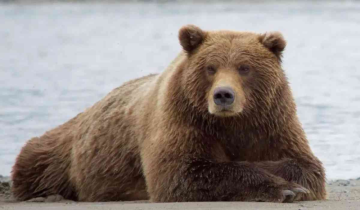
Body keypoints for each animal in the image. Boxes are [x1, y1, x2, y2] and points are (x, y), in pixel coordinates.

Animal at [11, 25, 326, 203]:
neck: (232, 123)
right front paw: (285, 189)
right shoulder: (183, 119)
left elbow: (305, 164)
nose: (223, 95)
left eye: (244, 68)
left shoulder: (272, 121)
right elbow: (181, 172)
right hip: (62, 153)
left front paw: (292, 183)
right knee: (35, 159)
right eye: (211, 67)